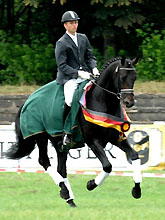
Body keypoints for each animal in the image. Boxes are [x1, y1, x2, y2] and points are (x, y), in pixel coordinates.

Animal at [5, 55, 142, 207]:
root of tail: (27, 100)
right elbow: (107, 166)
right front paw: (91, 184)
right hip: (41, 136)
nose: (129, 102)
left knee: (61, 169)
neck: (102, 101)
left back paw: (69, 198)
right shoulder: (92, 141)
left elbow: (134, 156)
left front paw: (137, 190)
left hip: (58, 142)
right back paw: (65, 191)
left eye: (135, 77)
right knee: (44, 161)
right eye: (122, 77)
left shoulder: (115, 138)